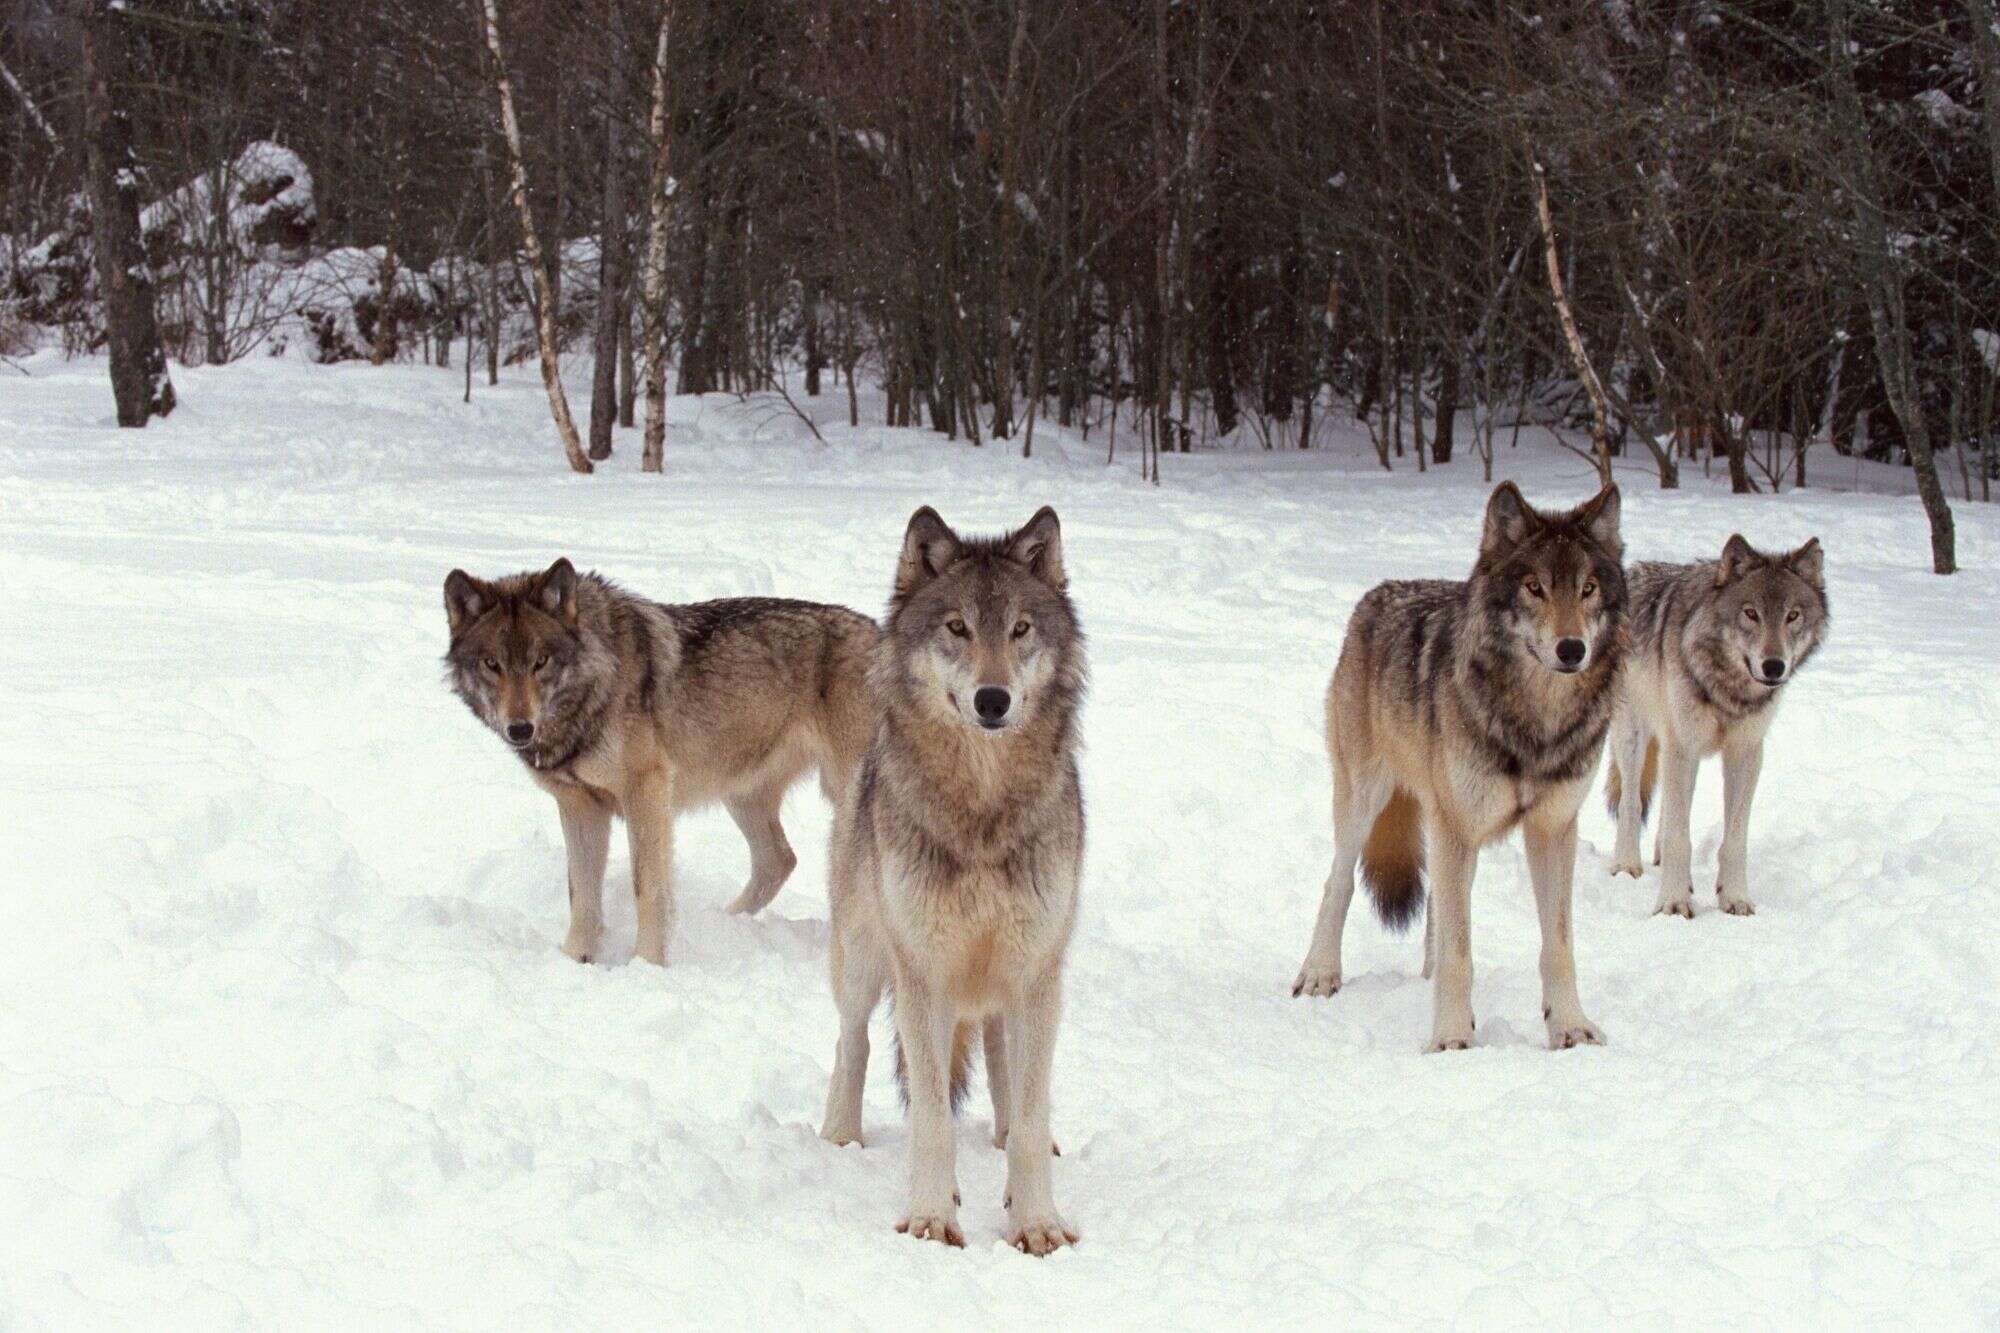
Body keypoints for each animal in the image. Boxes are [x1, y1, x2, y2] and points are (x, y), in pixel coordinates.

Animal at [443, 559, 875, 965]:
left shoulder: (646, 792)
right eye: (492, 664)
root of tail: (878, 631)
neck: (595, 687)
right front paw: (575, 959)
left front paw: (647, 963)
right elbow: (581, 895)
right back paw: (722, 923)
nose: (520, 728)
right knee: (779, 860)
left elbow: (647, 888)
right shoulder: (579, 806)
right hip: (741, 794)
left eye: (541, 661)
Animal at [818, 506, 1086, 1256]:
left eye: (1020, 628)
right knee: (853, 1038)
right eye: (957, 627)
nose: (993, 699)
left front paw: (1035, 1219)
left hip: (1002, 988)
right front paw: (933, 1216)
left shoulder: (1038, 972)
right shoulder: (923, 975)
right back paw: (839, 1136)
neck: (983, 811)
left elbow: (1030, 1111)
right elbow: (932, 1118)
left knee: (1001, 1064)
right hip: (865, 958)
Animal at [1292, 482, 1626, 1053]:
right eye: (1534, 588)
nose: (1572, 648)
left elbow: (1557, 946)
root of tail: (1380, 592)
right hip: (1368, 802)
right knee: (1339, 883)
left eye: (1587, 589)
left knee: (1435, 910)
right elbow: (1459, 952)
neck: (1537, 722)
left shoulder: (1552, 829)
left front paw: (1570, 1026)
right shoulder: (1459, 827)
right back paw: (1319, 974)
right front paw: (1450, 1039)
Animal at [1605, 534, 1827, 917]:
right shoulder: (1683, 746)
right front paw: (1673, 903)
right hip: (1634, 736)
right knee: (1631, 803)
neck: (1729, 688)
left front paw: (1735, 899)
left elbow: (1734, 839)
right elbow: (1680, 836)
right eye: (1750, 613)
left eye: (1792, 616)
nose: (1774, 666)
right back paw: (1626, 866)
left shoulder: (1745, 753)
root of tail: (1632, 571)